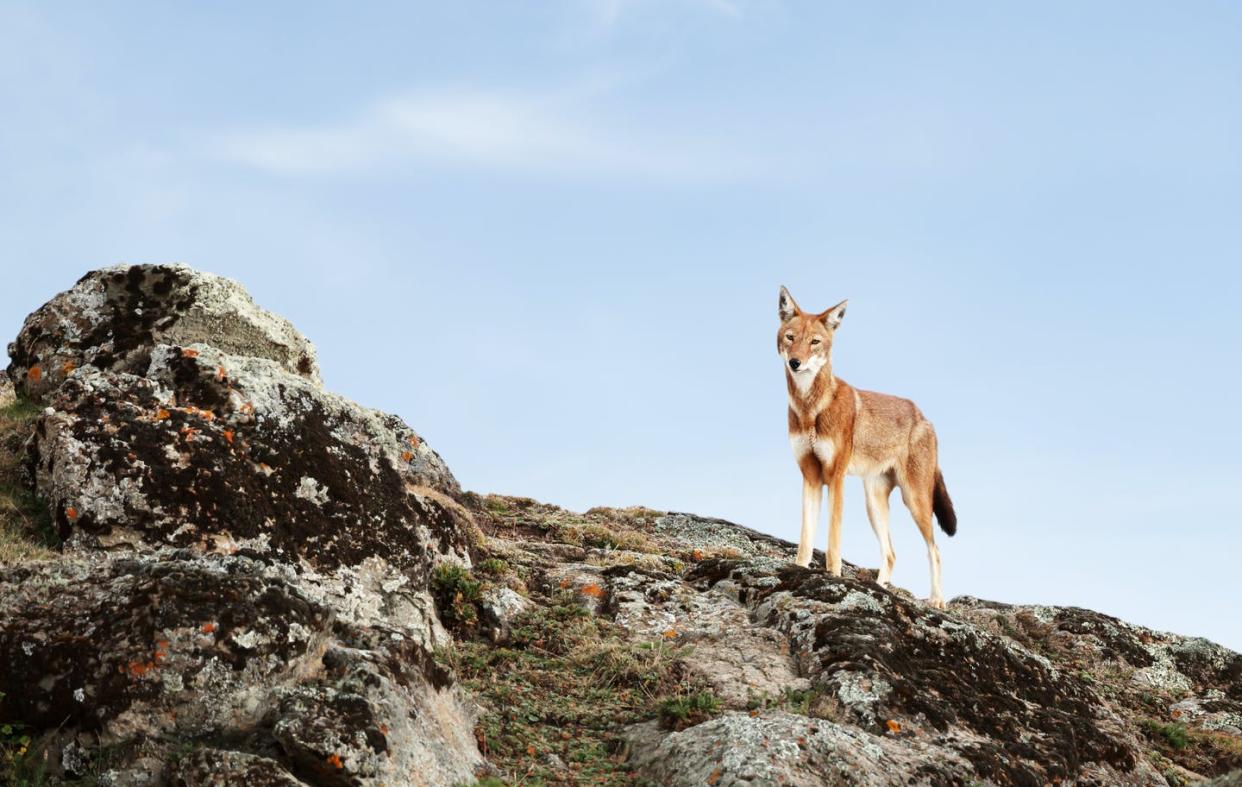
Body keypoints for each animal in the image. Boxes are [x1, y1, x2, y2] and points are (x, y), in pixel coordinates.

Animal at [779, 283, 953, 605]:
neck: (810, 409)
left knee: (934, 550)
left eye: (814, 342)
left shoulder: (835, 478)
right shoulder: (810, 476)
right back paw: (881, 588)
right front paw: (799, 570)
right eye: (790, 337)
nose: (795, 363)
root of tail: (923, 416)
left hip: (915, 501)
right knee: (891, 554)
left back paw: (937, 600)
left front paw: (833, 576)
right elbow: (806, 539)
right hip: (874, 504)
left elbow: (833, 541)